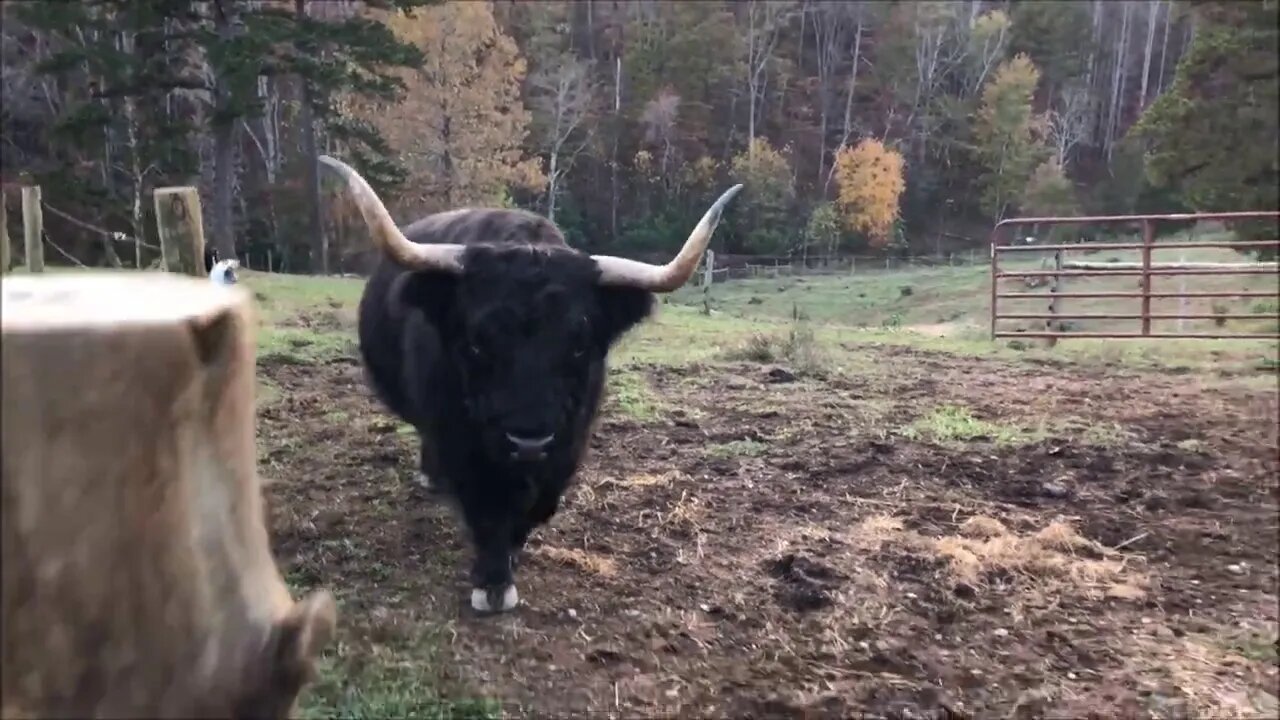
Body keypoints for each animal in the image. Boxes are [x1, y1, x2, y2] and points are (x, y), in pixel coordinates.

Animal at [314, 155, 747, 609]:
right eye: (477, 342)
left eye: (579, 344)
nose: (528, 440)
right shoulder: (459, 440)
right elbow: (483, 509)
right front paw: (492, 583)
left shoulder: (568, 443)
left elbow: (537, 506)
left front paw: (513, 554)